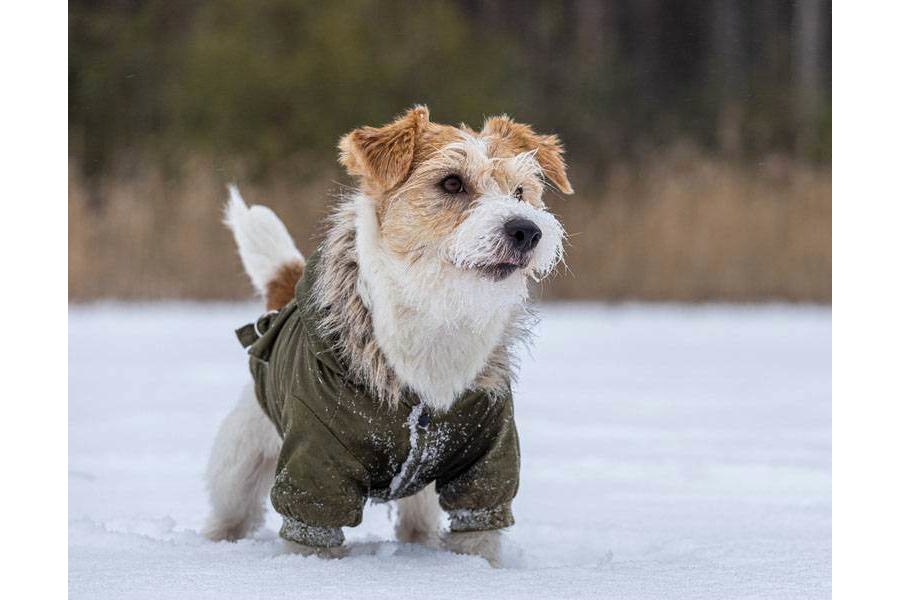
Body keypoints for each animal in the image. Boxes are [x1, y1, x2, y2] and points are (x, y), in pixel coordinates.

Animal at [203, 105, 568, 564]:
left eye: (520, 191)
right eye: (452, 182)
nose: (526, 230)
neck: (437, 316)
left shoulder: (487, 461)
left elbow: (478, 533)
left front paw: (478, 569)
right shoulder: (314, 469)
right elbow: (311, 533)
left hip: (423, 490)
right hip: (240, 461)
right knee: (230, 510)